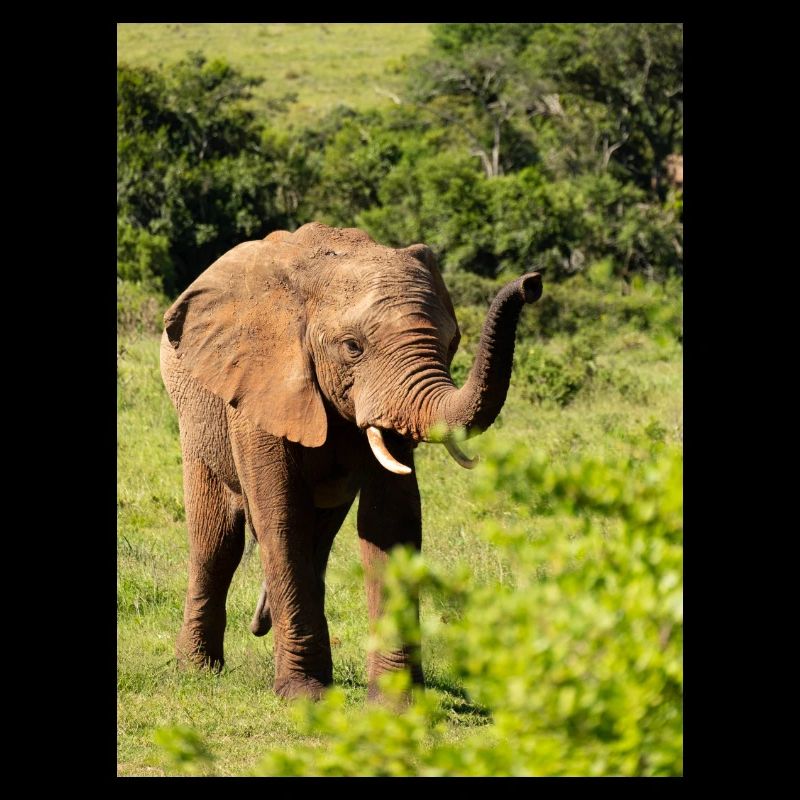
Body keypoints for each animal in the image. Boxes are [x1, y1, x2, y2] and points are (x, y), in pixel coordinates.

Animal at [160, 222, 542, 701]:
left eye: (451, 342)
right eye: (352, 347)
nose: (532, 283)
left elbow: (390, 521)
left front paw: (397, 702)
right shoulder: (260, 387)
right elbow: (281, 516)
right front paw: (304, 695)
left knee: (317, 541)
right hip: (196, 415)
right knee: (217, 540)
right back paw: (198, 669)